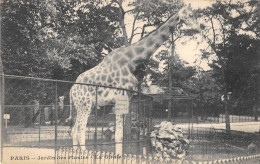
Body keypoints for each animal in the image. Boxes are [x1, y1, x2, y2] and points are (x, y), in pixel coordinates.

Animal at [66, 3, 199, 150]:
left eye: (195, 14)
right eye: (190, 14)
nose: (199, 28)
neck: (132, 61)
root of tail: (72, 89)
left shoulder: (128, 99)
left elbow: (121, 135)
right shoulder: (120, 97)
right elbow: (118, 135)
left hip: (82, 106)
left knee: (74, 130)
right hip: (85, 105)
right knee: (80, 130)